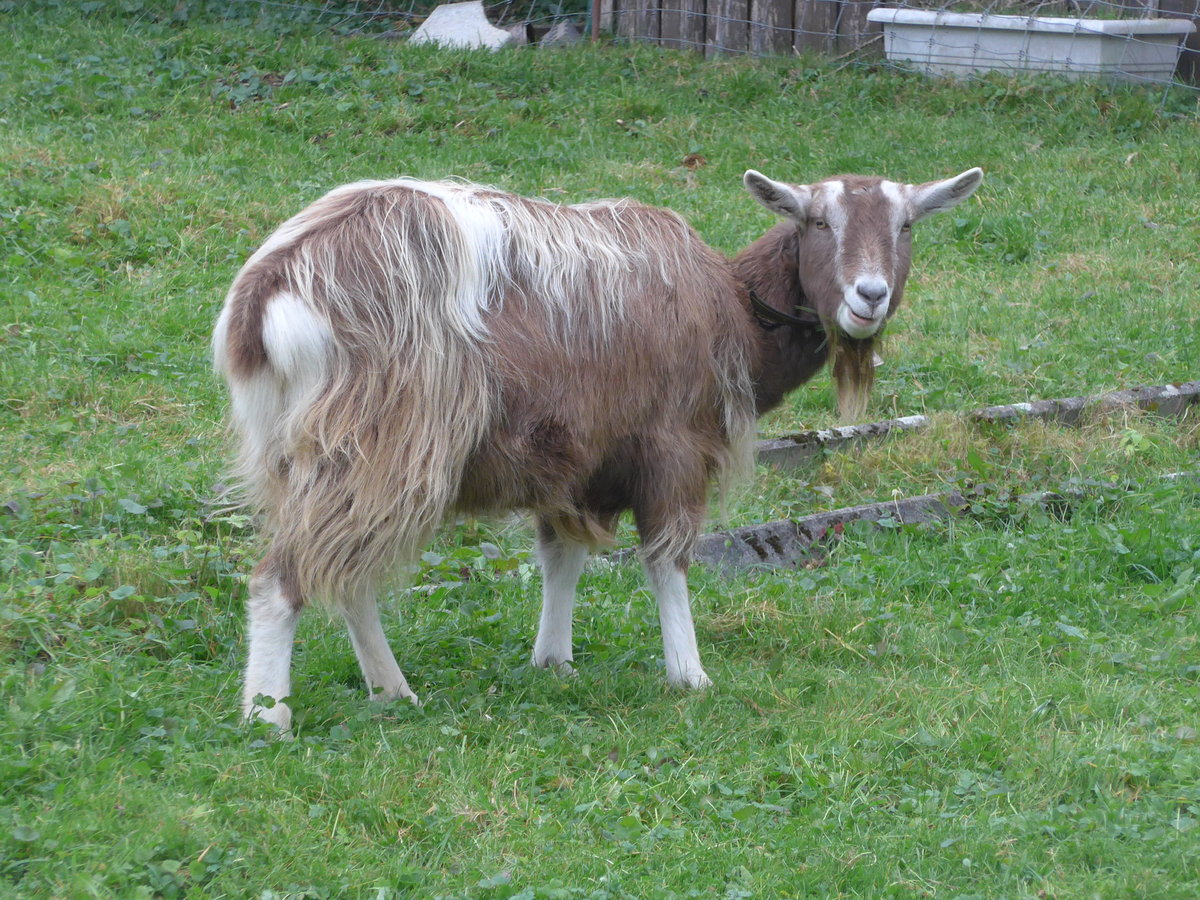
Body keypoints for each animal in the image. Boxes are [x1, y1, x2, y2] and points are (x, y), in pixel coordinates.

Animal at [212, 168, 982, 728]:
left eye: (906, 225)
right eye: (818, 222)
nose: (868, 296)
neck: (730, 310)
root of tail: (266, 295)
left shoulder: (578, 463)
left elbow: (562, 558)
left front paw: (553, 659)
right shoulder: (671, 448)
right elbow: (668, 560)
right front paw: (690, 675)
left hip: (305, 454)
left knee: (346, 573)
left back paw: (391, 690)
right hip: (380, 444)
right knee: (285, 577)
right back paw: (268, 718)